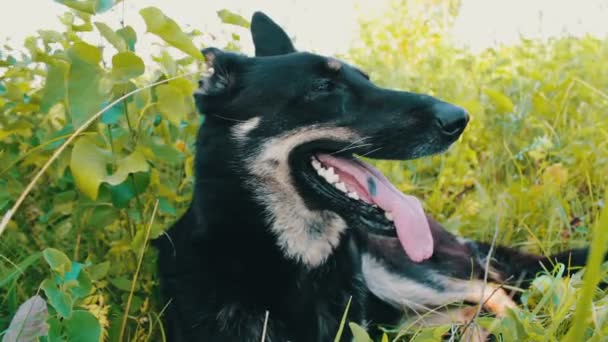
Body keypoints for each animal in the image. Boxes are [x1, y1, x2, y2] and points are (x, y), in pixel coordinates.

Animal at [153, 12, 592, 340]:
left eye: (365, 77)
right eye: (323, 86)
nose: (459, 119)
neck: (297, 262)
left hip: (403, 273)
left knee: (496, 294)